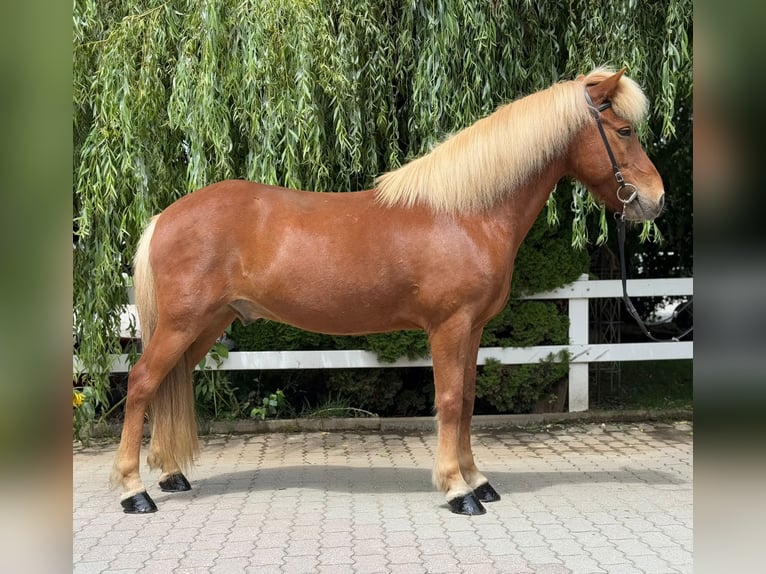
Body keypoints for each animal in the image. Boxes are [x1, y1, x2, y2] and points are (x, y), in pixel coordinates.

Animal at [111, 67, 664, 516]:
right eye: (624, 130)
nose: (656, 200)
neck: (465, 214)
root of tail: (165, 217)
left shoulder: (473, 329)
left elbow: (468, 400)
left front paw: (477, 480)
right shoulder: (449, 327)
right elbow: (449, 399)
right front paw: (457, 490)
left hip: (206, 325)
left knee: (168, 385)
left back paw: (171, 475)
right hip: (182, 324)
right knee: (141, 383)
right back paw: (134, 492)